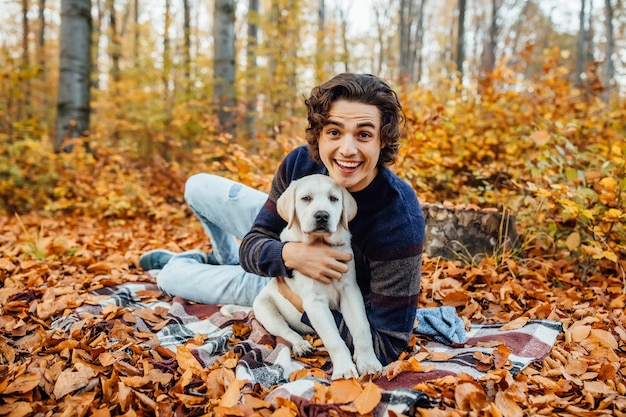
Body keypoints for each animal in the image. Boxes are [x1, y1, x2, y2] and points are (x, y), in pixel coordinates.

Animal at [252, 174, 380, 378]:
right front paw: (344, 369)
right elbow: (334, 339)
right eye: (306, 198)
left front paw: (368, 361)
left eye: (334, 199)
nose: (322, 215)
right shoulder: (314, 302)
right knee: (286, 332)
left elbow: (362, 328)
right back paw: (301, 345)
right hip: (266, 309)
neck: (321, 244)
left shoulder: (350, 291)